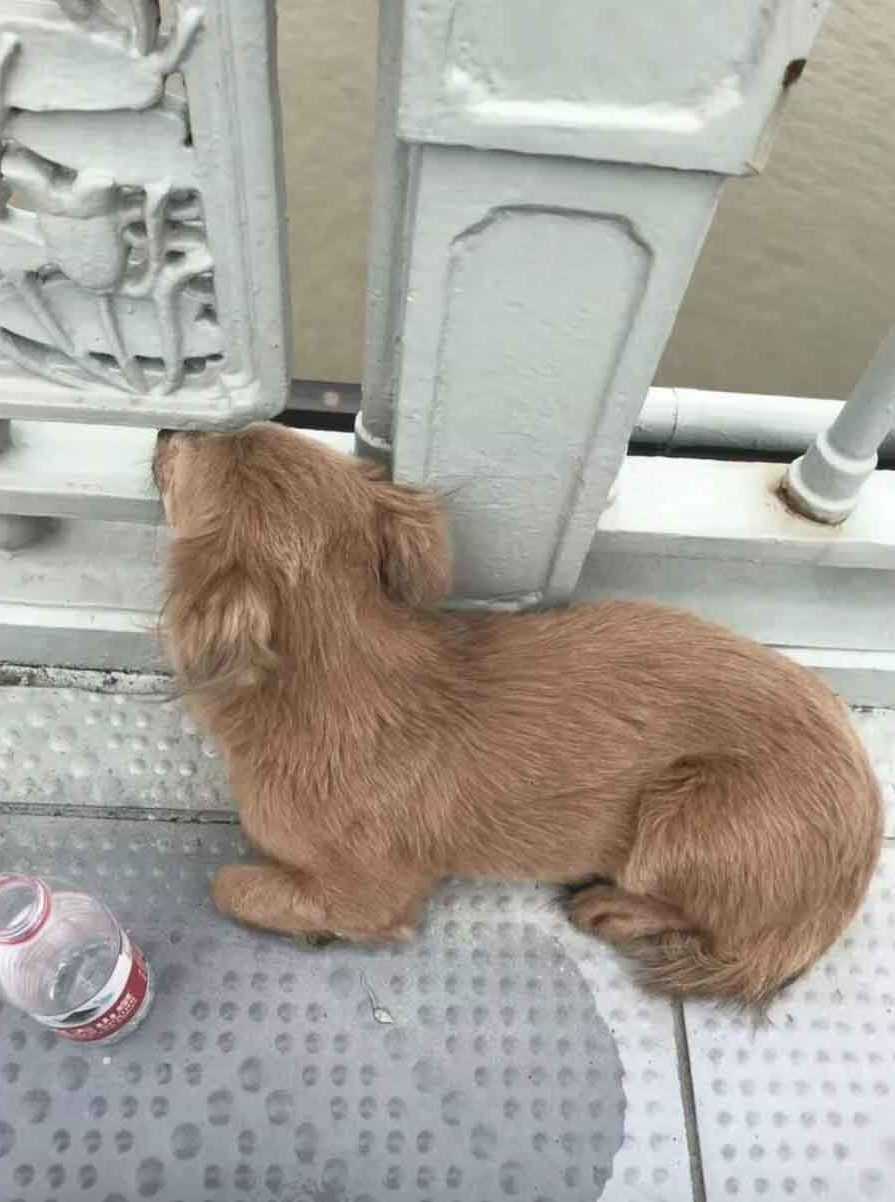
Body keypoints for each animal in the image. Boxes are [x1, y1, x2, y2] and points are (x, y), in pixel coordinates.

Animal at [151, 423, 879, 1004]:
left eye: (189, 455)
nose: (166, 429)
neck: (342, 673)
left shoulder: (370, 893)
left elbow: (228, 883)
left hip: (685, 816)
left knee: (707, 924)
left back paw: (614, 908)